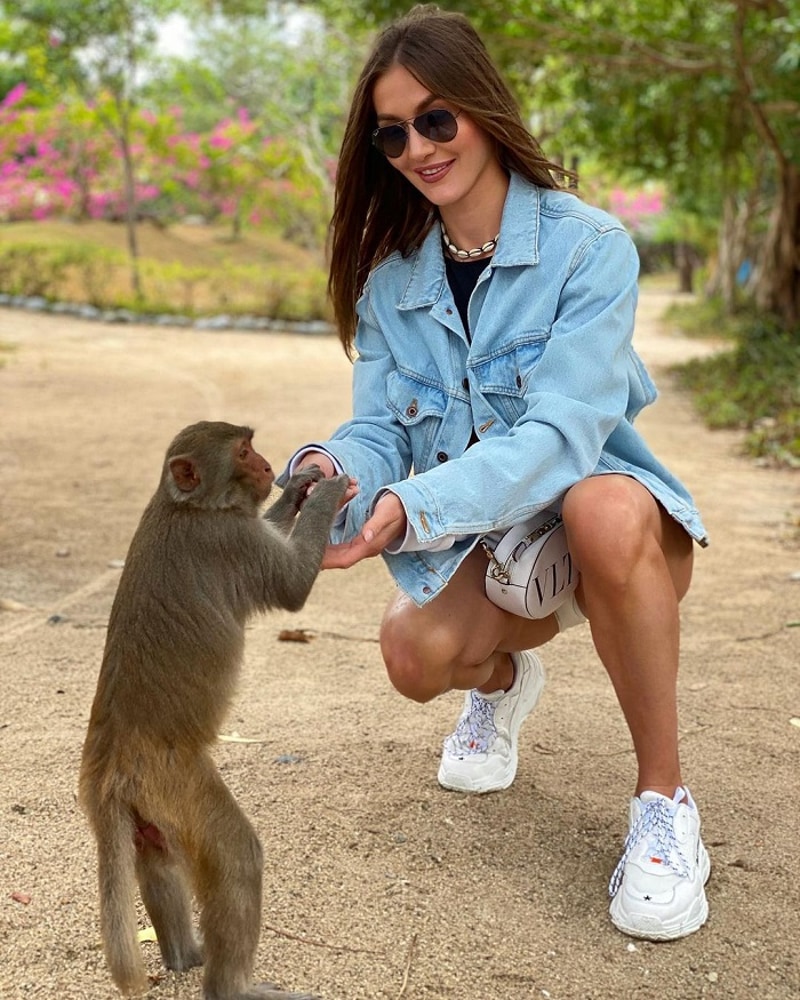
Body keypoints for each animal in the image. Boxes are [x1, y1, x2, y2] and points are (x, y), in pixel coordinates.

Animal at [78, 421, 350, 1000]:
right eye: (244, 451)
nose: (268, 465)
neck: (187, 506)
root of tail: (111, 765)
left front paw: (300, 489)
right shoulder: (230, 541)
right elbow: (292, 584)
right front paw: (328, 495)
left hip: (147, 806)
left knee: (156, 861)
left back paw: (185, 956)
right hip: (177, 782)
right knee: (238, 858)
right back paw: (233, 986)